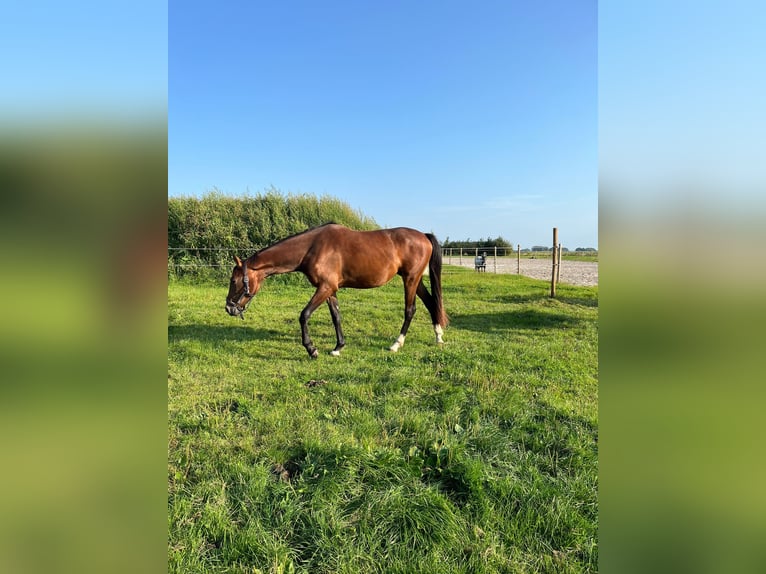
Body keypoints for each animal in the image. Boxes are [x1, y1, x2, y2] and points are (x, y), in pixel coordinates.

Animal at [225, 223, 448, 358]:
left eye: (234, 280)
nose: (229, 308)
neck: (312, 247)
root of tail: (423, 236)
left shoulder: (325, 287)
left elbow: (304, 315)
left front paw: (311, 349)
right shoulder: (330, 290)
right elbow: (336, 317)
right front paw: (338, 347)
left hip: (410, 279)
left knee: (410, 310)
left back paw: (396, 344)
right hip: (415, 280)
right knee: (431, 303)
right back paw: (438, 336)